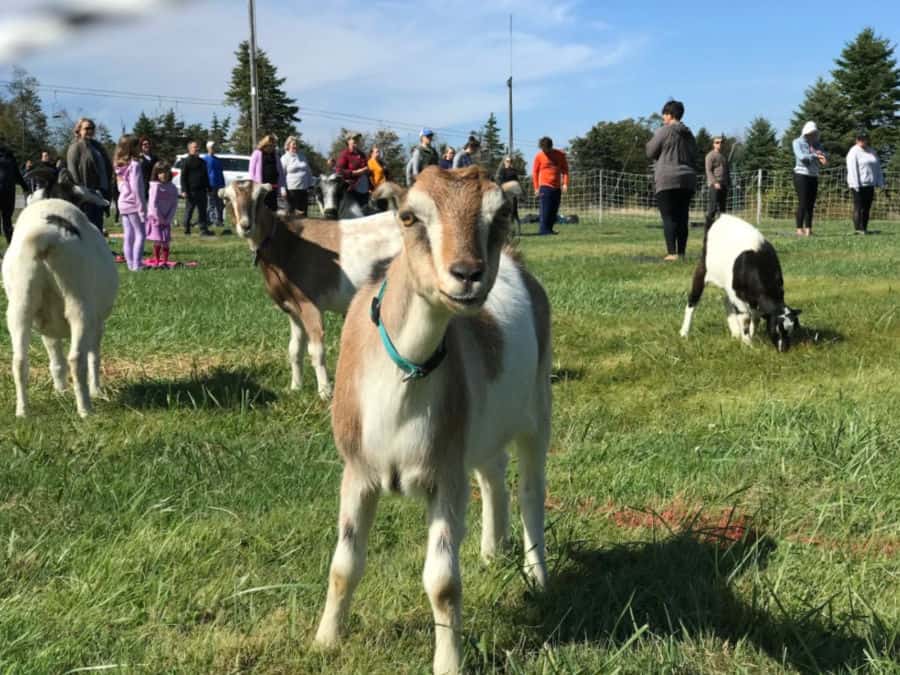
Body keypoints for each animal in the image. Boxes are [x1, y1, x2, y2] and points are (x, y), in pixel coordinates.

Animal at [2, 197, 119, 418]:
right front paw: (97, 391)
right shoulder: (97, 324)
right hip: (79, 305)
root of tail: (45, 235)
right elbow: (94, 357)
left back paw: (22, 411)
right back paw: (85, 409)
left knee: (20, 361)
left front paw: (61, 392)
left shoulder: (47, 329)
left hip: (20, 305)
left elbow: (56, 360)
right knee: (77, 359)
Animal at [218, 181, 400, 402]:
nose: (245, 226)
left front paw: (325, 392)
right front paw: (295, 387)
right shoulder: (293, 309)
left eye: (260, 198)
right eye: (227, 199)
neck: (289, 244)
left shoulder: (309, 304)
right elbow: (294, 349)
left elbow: (316, 350)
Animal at [316, 166, 556, 672]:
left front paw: (448, 662)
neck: (399, 381)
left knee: (531, 491)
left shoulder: (444, 475)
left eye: (498, 214)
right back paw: (491, 551)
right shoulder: (358, 470)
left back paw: (536, 576)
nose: (467, 274)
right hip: (482, 429)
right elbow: (344, 564)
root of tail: (517, 263)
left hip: (537, 410)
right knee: (492, 474)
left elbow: (443, 583)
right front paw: (325, 641)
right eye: (408, 216)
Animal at [684, 215, 800, 354]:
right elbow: (746, 319)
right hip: (702, 270)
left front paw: (750, 335)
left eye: (791, 331)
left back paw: (735, 332)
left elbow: (755, 318)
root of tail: (720, 217)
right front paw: (748, 344)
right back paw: (684, 332)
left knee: (726, 301)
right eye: (775, 330)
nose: (783, 349)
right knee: (692, 302)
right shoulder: (740, 299)